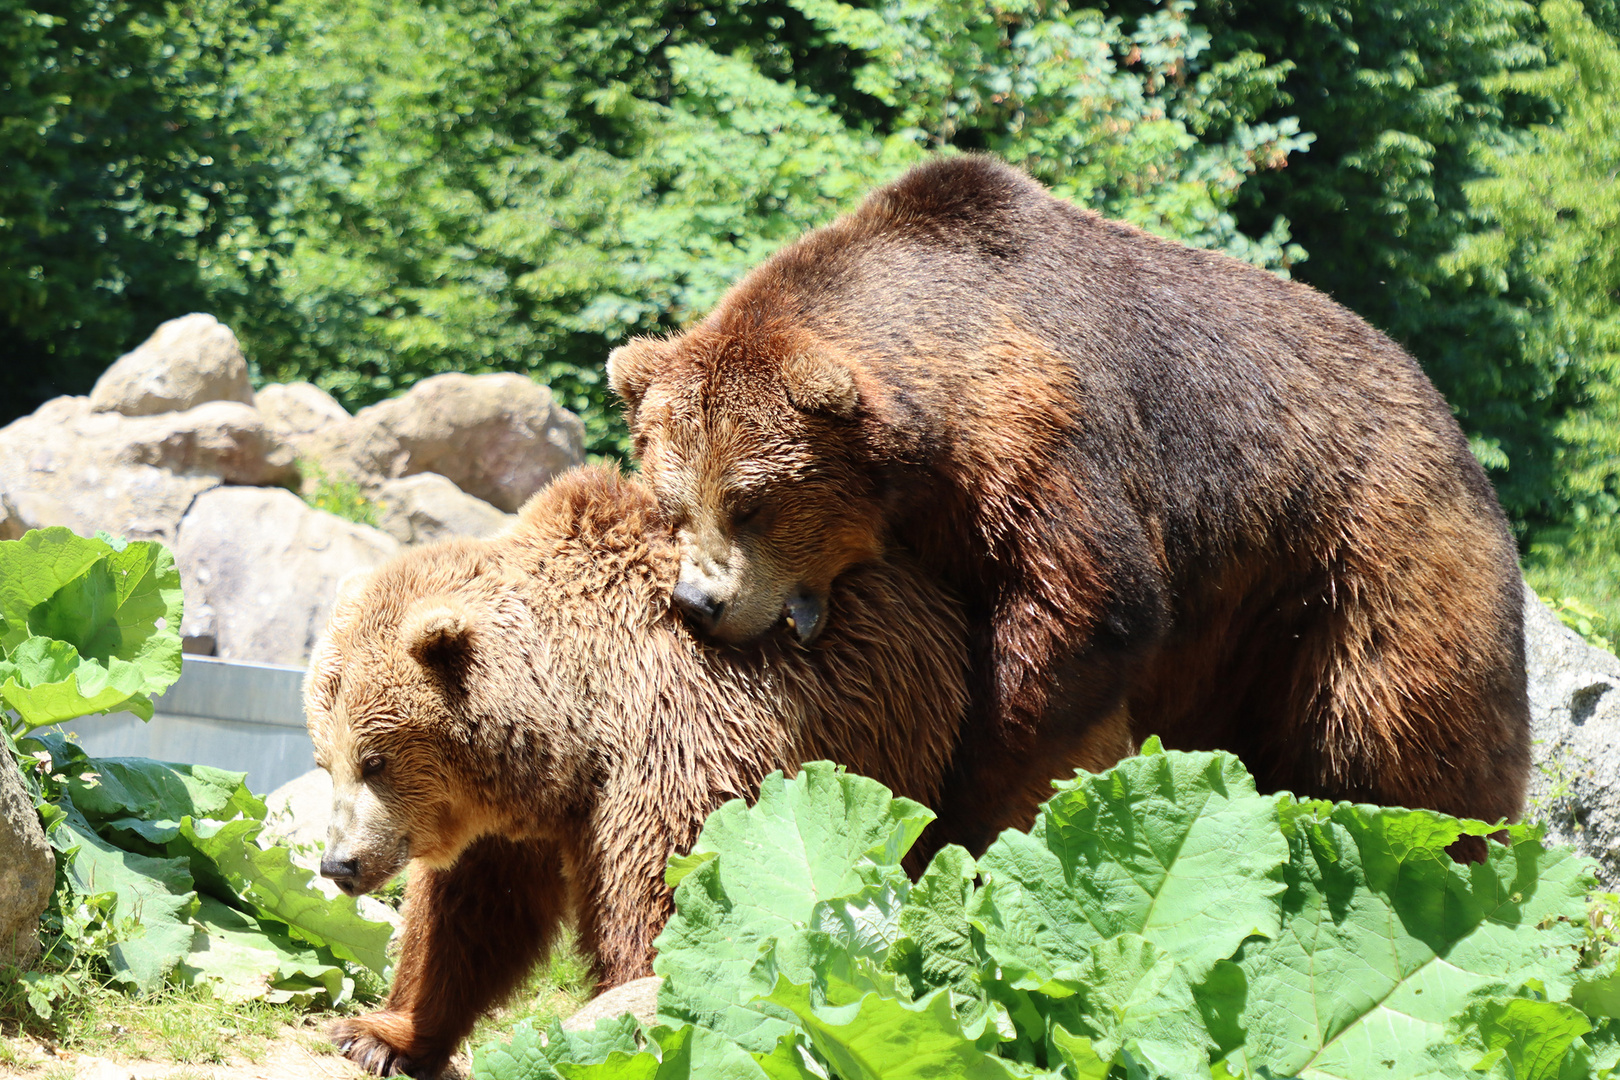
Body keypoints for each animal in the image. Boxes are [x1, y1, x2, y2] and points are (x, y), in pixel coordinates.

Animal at [302, 469, 959, 1080]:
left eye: (375, 760)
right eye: (325, 760)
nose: (338, 865)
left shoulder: (684, 752)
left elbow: (672, 908)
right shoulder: (508, 820)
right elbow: (468, 921)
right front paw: (379, 1037)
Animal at [609, 153, 1529, 861]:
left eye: (753, 503)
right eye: (672, 503)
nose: (699, 602)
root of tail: (1444, 411)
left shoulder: (1045, 437)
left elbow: (1084, 611)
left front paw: (962, 815)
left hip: (1366, 558)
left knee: (1397, 741)